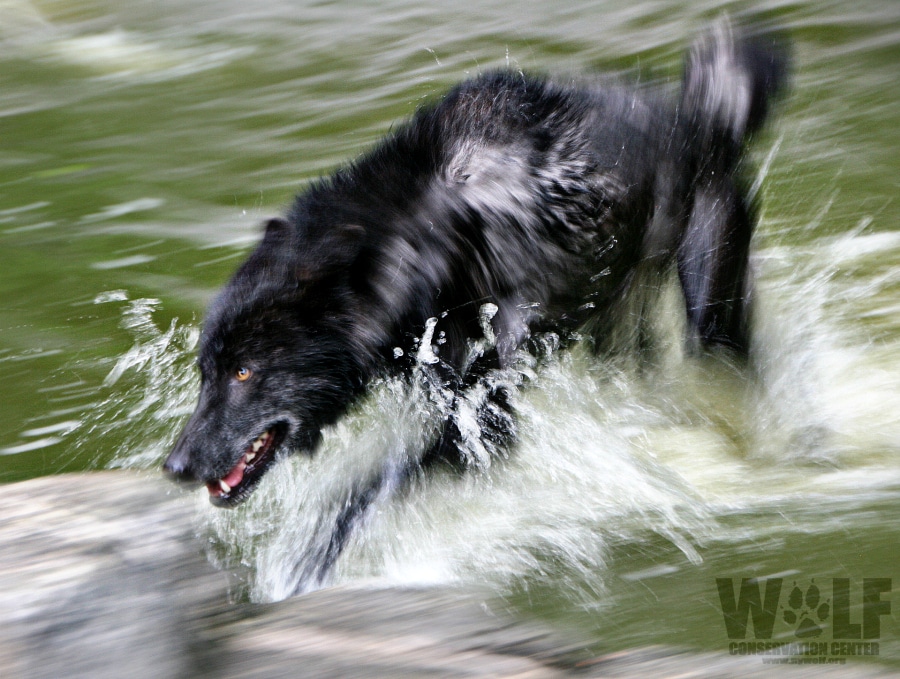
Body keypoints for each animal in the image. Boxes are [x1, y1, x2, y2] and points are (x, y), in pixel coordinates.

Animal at [164, 22, 786, 574]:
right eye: (206, 372)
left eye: (244, 372)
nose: (174, 466)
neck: (429, 240)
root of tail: (702, 117)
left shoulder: (487, 415)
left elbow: (364, 490)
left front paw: (304, 567)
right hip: (622, 333)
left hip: (709, 314)